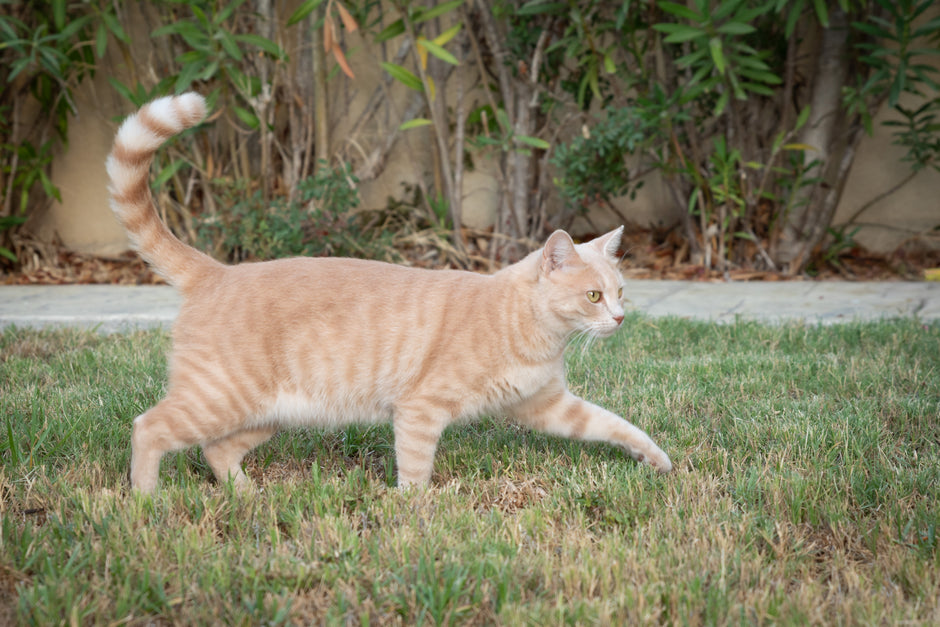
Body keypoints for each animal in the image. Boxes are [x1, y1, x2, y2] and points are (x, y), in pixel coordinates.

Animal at [106, 93, 672, 496]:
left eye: (621, 292)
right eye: (594, 296)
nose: (620, 318)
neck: (529, 328)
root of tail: (216, 271)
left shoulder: (550, 406)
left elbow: (615, 424)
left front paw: (657, 459)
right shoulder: (421, 409)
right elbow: (416, 469)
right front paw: (415, 511)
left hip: (266, 413)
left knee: (218, 452)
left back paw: (248, 496)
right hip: (219, 398)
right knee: (148, 428)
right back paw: (146, 501)